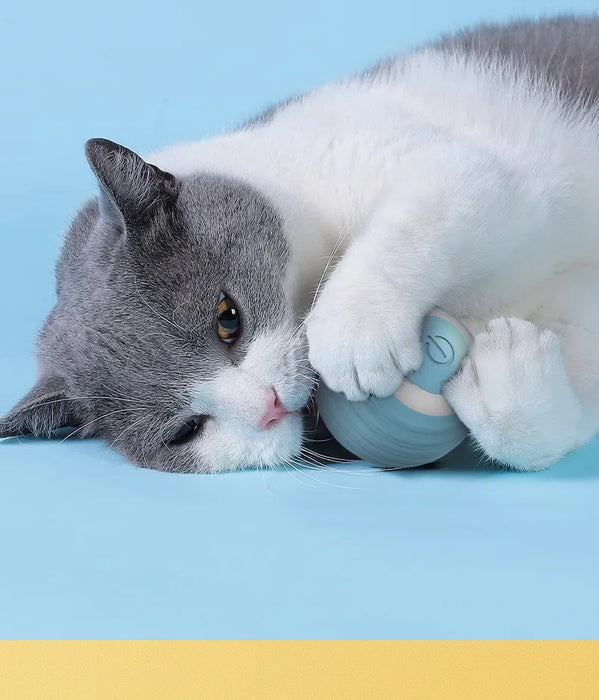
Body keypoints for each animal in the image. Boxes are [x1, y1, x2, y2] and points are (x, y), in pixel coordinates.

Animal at [1, 15, 599, 476]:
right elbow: (562, 408)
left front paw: (355, 334)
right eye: (187, 429)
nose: (266, 407)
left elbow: (421, 216)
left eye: (227, 318)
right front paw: (506, 365)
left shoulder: (458, 166)